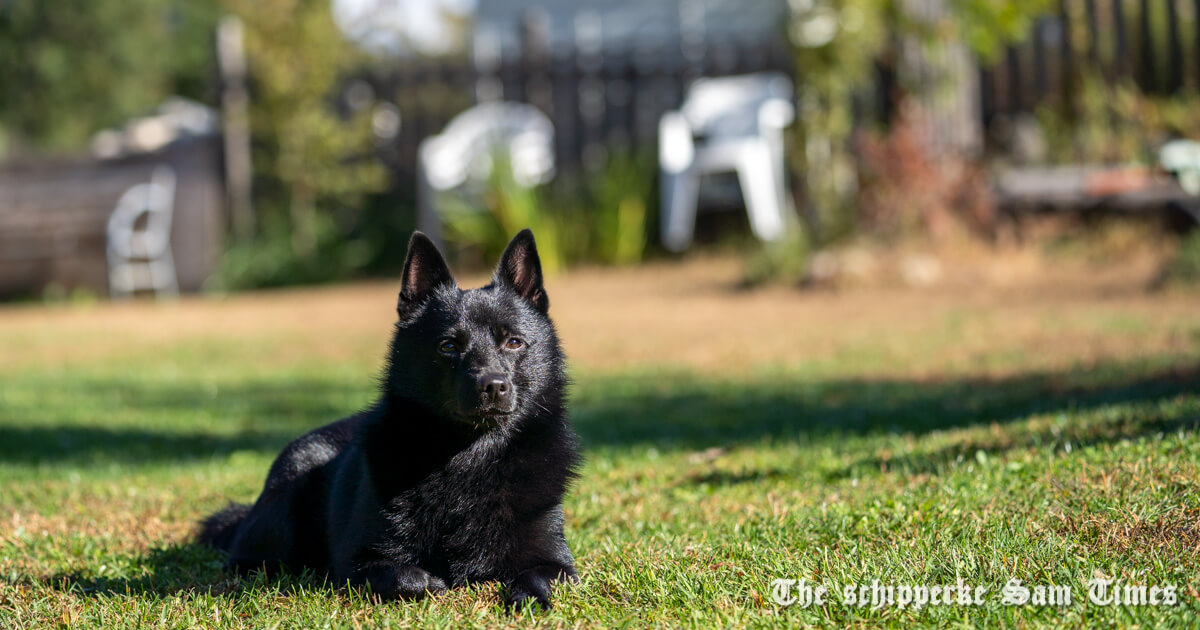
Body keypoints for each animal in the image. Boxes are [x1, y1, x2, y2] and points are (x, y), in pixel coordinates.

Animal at [198, 229, 580, 609]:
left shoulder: (558, 563)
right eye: (448, 346)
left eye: (514, 342)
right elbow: (411, 578)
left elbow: (537, 578)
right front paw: (436, 581)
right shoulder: (359, 563)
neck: (470, 458)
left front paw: (528, 598)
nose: (493, 386)